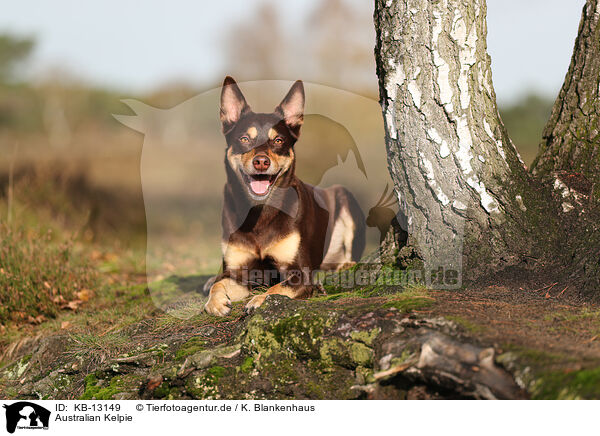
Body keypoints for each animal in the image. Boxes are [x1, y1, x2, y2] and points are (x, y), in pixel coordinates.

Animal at [205, 77, 366, 316]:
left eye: (279, 140)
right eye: (244, 138)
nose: (261, 162)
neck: (260, 211)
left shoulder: (299, 272)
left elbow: (278, 288)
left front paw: (259, 300)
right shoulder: (239, 272)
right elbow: (219, 283)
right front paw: (215, 303)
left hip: (345, 198)